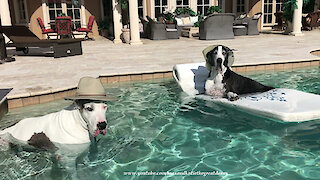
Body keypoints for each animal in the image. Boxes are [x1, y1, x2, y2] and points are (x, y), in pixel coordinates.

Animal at [174, 45, 320, 122]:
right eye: (215, 52)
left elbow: (228, 92)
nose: (220, 60)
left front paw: (232, 95)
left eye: (224, 53)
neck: (217, 75)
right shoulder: (208, 93)